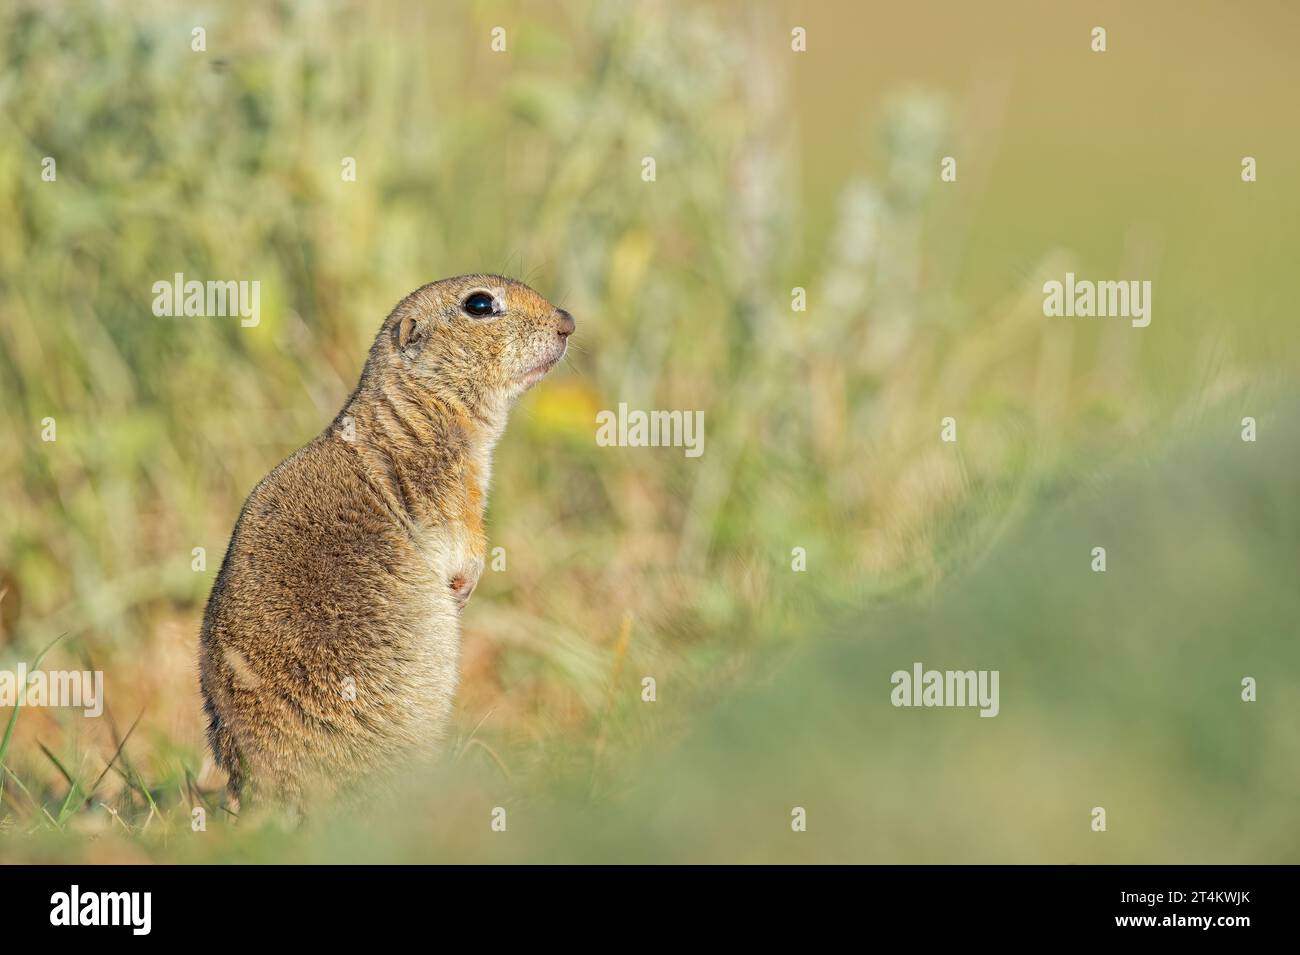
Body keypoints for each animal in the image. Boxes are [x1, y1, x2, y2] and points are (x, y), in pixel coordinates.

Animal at [197, 276, 574, 805]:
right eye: (480, 304)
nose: (568, 321)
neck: (420, 407)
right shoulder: (444, 488)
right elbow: (461, 540)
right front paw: (465, 584)